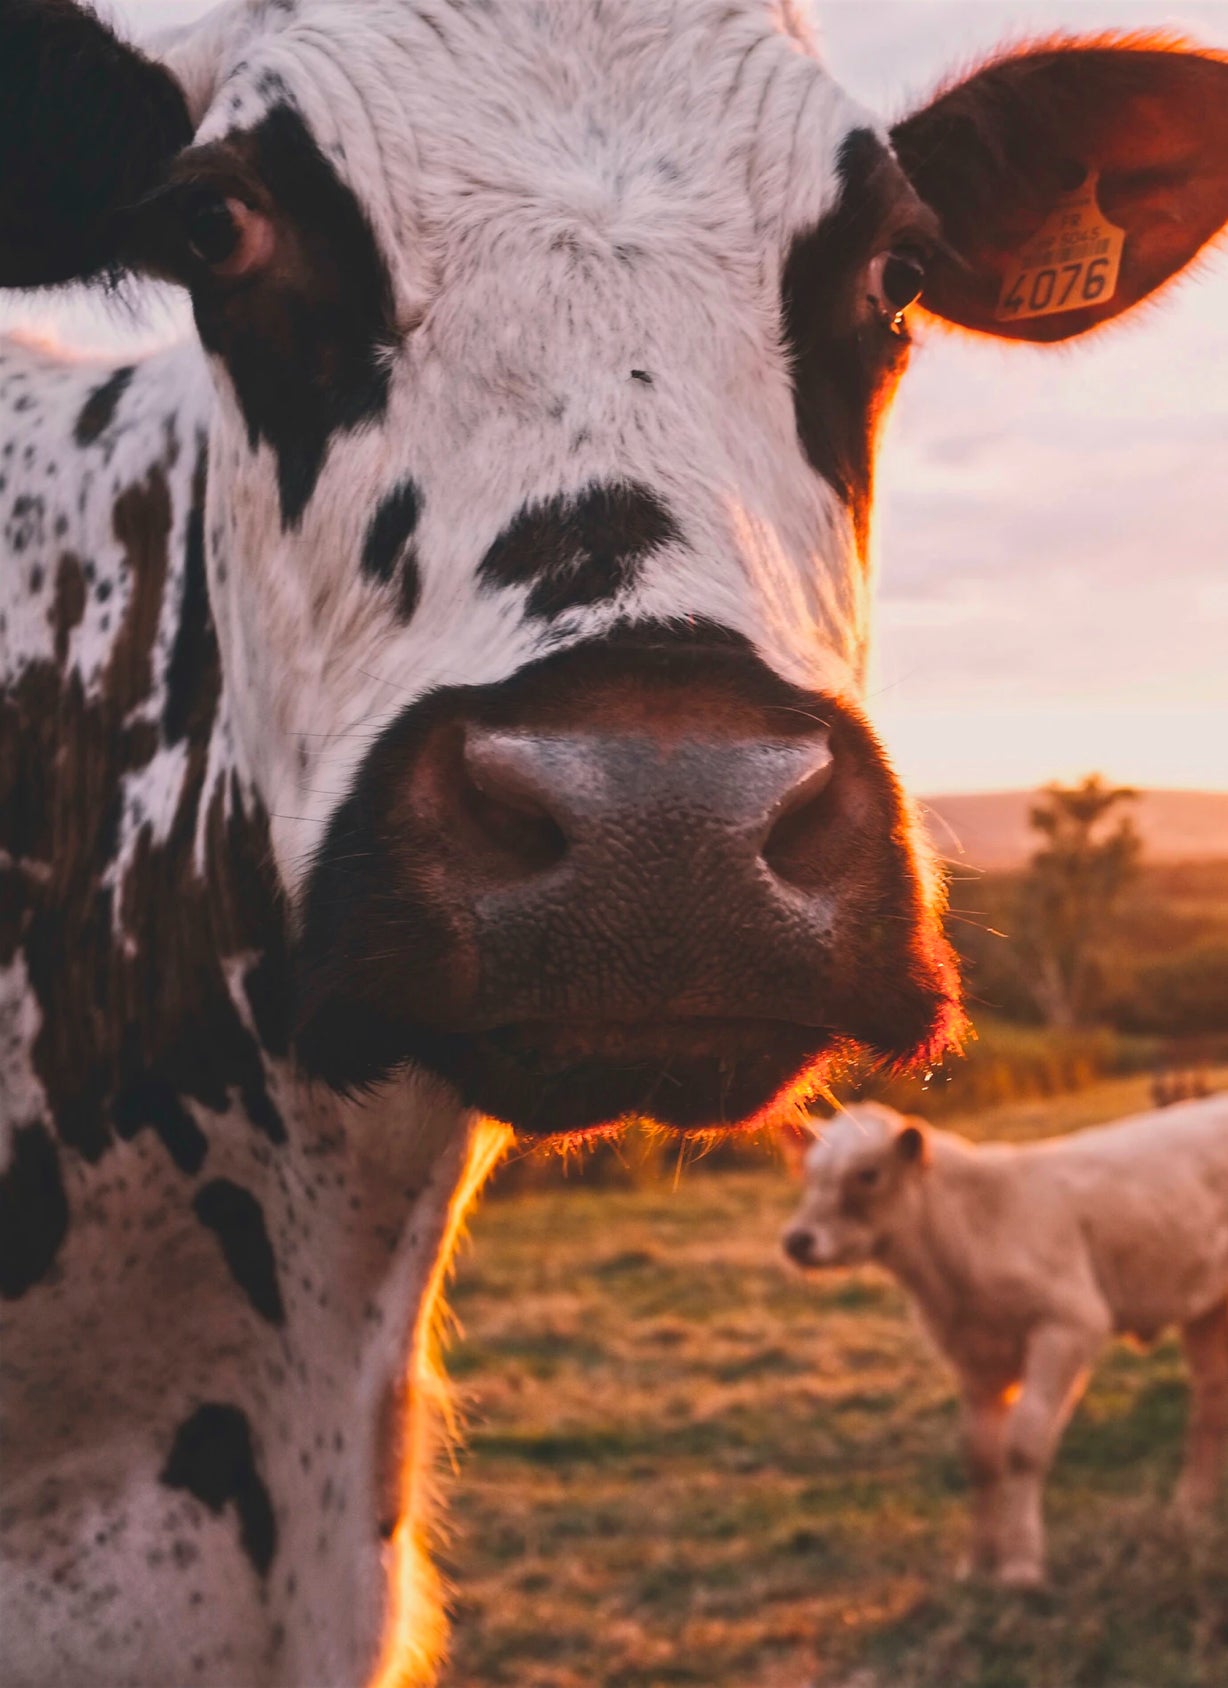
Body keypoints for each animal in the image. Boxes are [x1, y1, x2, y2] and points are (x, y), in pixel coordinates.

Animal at [783, 1099, 1228, 1588]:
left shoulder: (1068, 1325)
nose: (797, 1240)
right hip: (1206, 1308)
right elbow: (981, 1456)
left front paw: (1020, 1565)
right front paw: (978, 1562)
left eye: (868, 1174)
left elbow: (1022, 1446)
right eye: (808, 1171)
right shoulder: (972, 1354)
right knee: (1210, 1401)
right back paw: (1190, 1510)